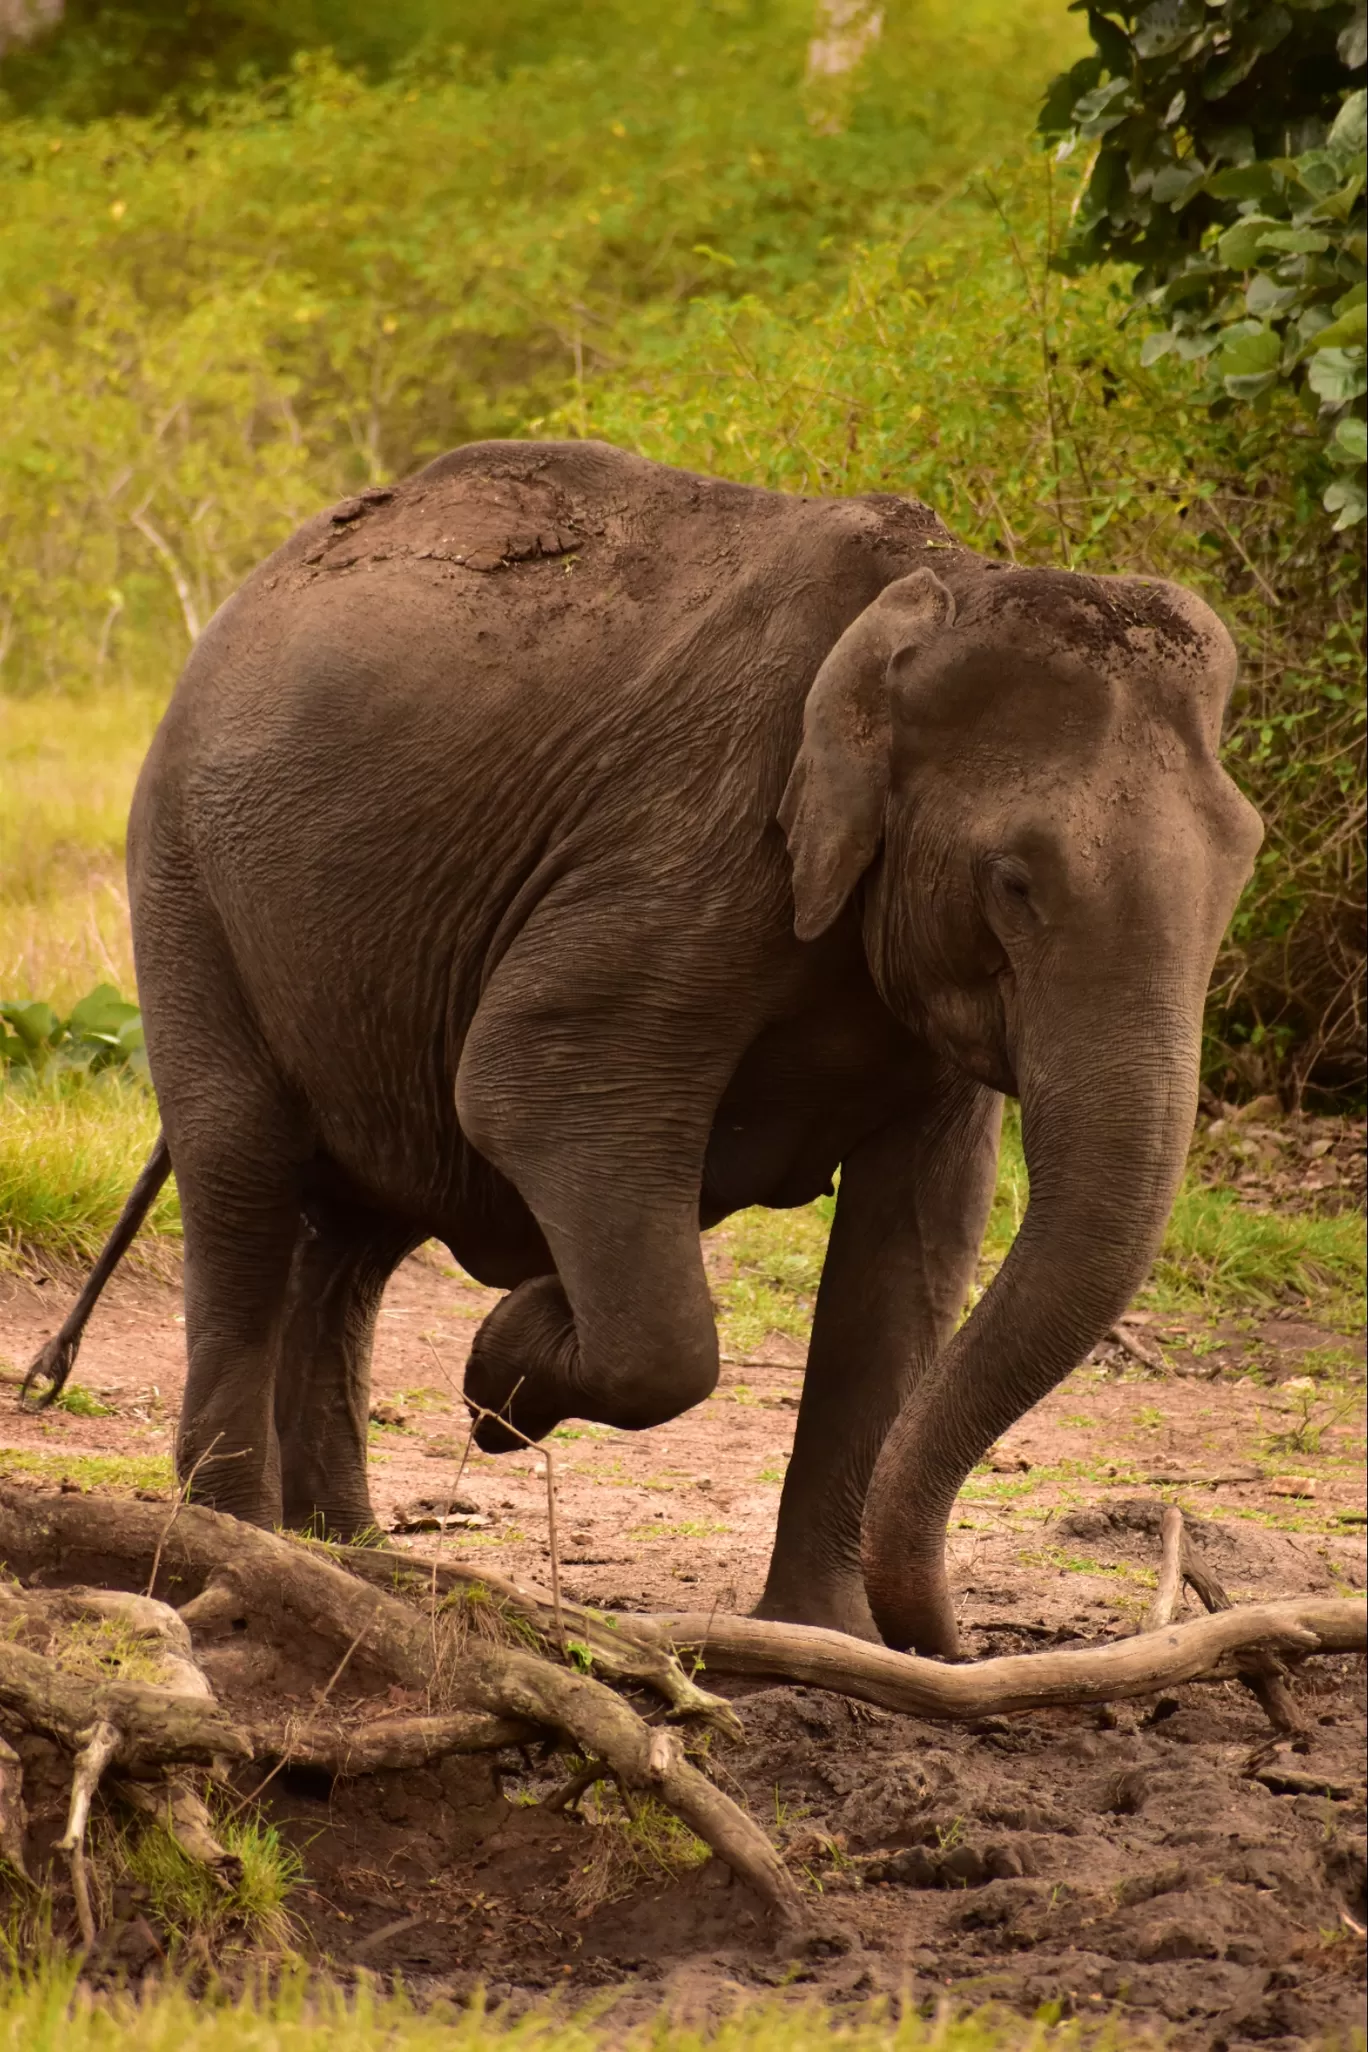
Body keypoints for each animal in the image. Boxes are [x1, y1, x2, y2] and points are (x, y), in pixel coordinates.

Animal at [24, 441, 1263, 1658]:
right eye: (1013, 883)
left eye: (1246, 859)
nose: (954, 1647)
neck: (945, 586)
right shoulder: (691, 841)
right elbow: (533, 1093)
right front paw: (503, 1366)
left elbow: (916, 1233)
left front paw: (828, 1644)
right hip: (187, 881)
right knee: (243, 1172)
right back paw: (239, 1547)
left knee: (351, 1238)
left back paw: (349, 1558)